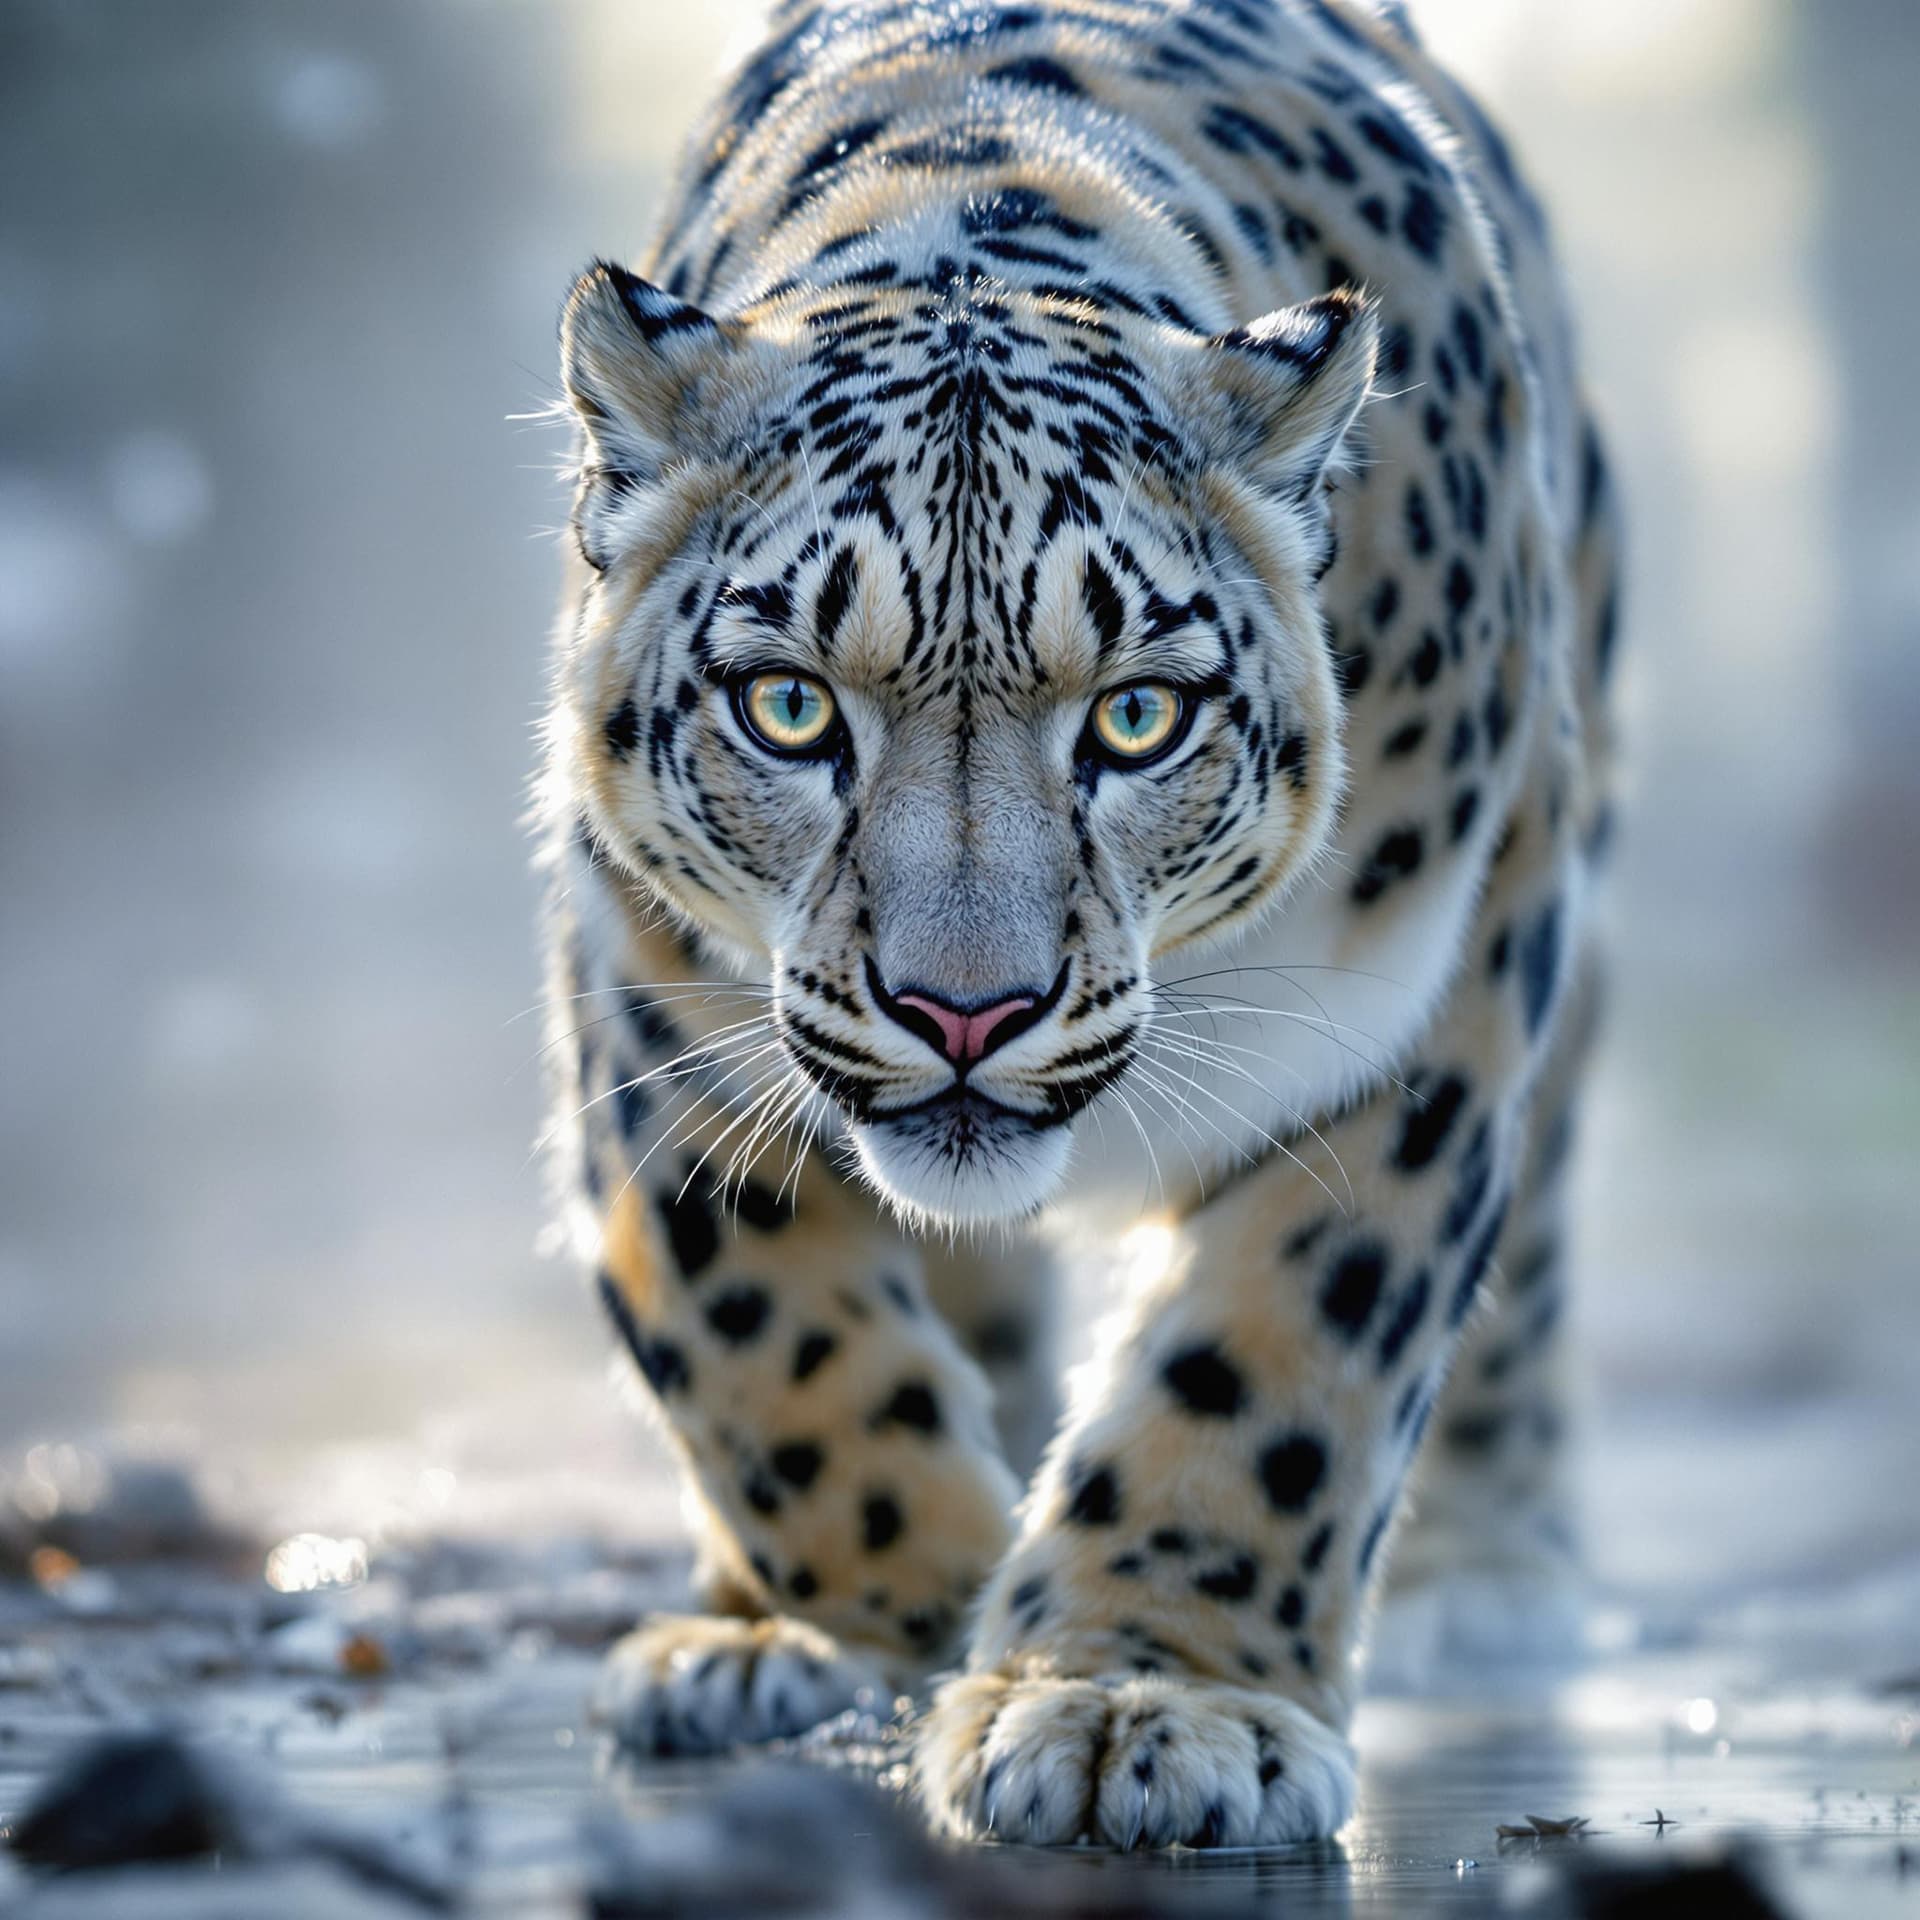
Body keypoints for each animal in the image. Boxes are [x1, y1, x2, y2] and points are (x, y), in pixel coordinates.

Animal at [536, 0, 1619, 1849]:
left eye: (1135, 718)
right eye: (788, 706)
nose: (965, 1012)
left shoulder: (1428, 993)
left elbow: (1282, 1357)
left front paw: (1138, 1699)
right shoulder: (651, 992)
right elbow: (756, 1334)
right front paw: (895, 1613)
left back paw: (1495, 1575)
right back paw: (740, 1640)